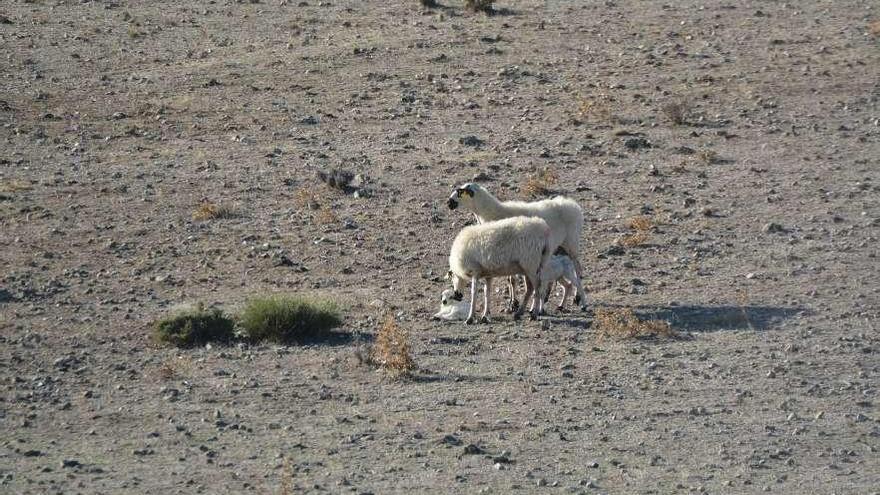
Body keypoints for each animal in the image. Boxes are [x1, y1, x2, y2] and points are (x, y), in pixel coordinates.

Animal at [446, 182, 584, 312]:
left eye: (460, 192)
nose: (449, 203)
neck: (491, 213)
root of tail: (573, 205)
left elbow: (513, 280)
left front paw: (513, 304)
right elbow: (510, 280)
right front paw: (513, 303)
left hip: (571, 242)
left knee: (578, 269)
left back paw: (579, 299)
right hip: (558, 248)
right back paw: (552, 300)